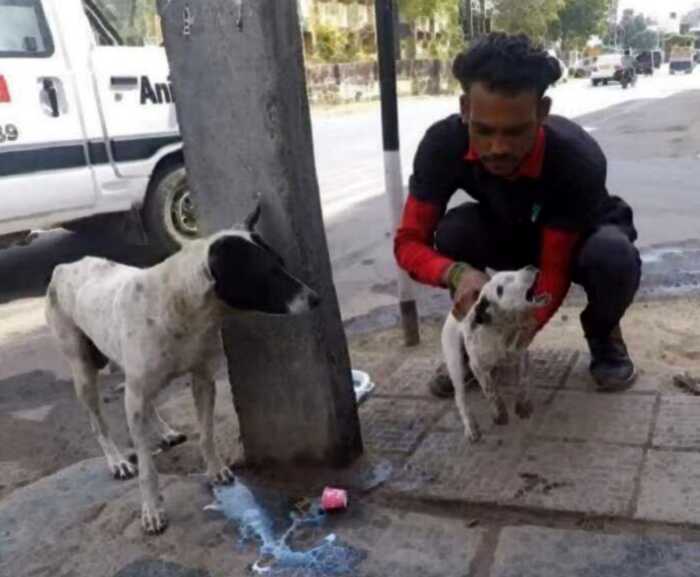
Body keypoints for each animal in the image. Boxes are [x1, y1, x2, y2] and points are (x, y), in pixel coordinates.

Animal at [47, 205, 322, 532]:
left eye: (281, 263)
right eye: (266, 272)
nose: (316, 299)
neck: (181, 304)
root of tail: (64, 266)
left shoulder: (203, 379)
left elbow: (206, 434)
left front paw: (215, 469)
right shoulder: (136, 397)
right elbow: (147, 467)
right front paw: (152, 509)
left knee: (144, 402)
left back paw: (164, 431)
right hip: (83, 371)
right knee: (98, 422)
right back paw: (116, 460)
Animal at [440, 266, 548, 440]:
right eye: (500, 289)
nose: (530, 267)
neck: (504, 330)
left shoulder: (522, 354)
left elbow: (523, 380)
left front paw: (522, 405)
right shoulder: (476, 366)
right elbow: (490, 390)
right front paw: (499, 413)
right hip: (455, 363)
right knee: (460, 398)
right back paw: (470, 427)